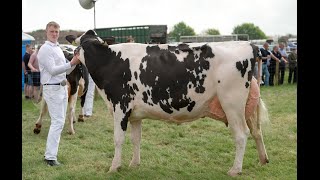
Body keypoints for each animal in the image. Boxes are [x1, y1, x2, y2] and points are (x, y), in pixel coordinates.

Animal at [70, 30, 270, 176]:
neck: (110, 61)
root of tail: (249, 45)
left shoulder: (121, 107)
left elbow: (118, 139)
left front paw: (114, 167)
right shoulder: (134, 114)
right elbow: (136, 139)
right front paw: (134, 164)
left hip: (232, 103)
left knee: (241, 134)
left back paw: (235, 170)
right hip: (246, 106)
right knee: (257, 131)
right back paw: (263, 160)